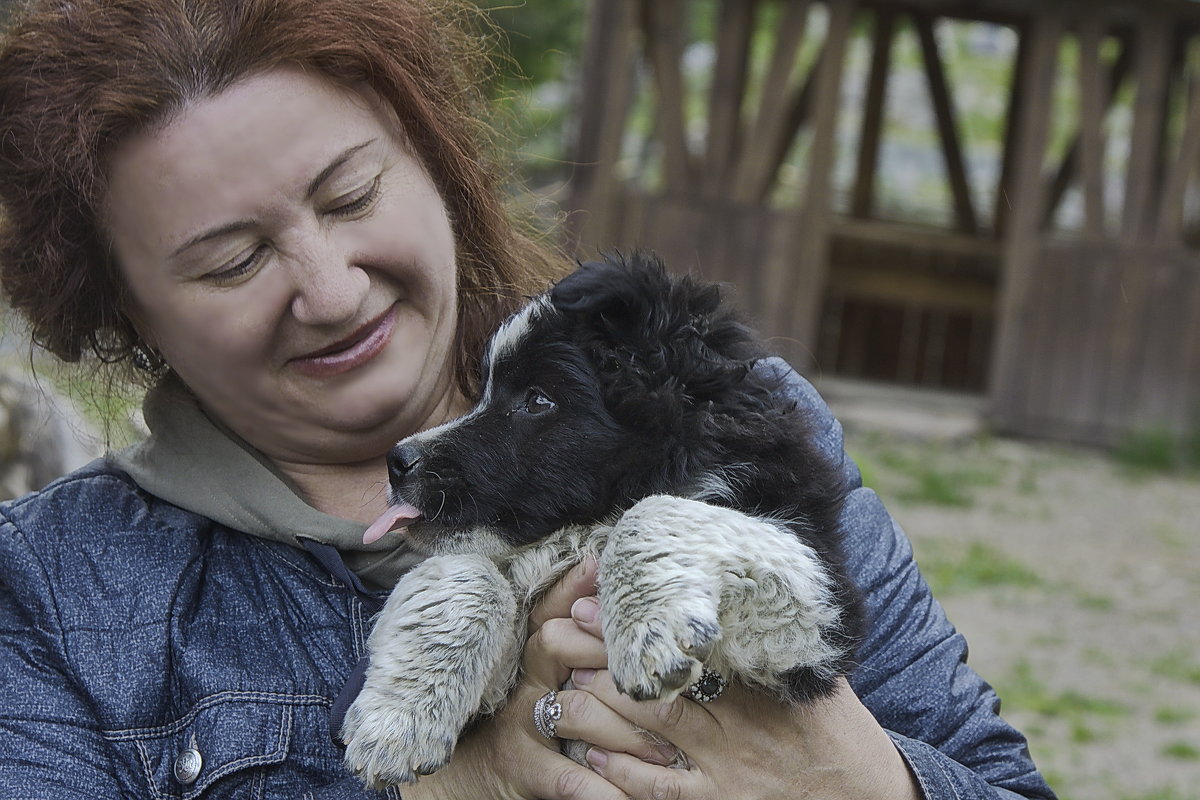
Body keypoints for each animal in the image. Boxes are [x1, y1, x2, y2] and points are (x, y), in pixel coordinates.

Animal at [343, 251, 868, 786]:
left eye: (538, 400)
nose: (396, 461)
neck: (584, 530)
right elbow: (465, 571)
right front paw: (399, 722)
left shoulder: (817, 624)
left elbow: (652, 510)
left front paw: (647, 631)